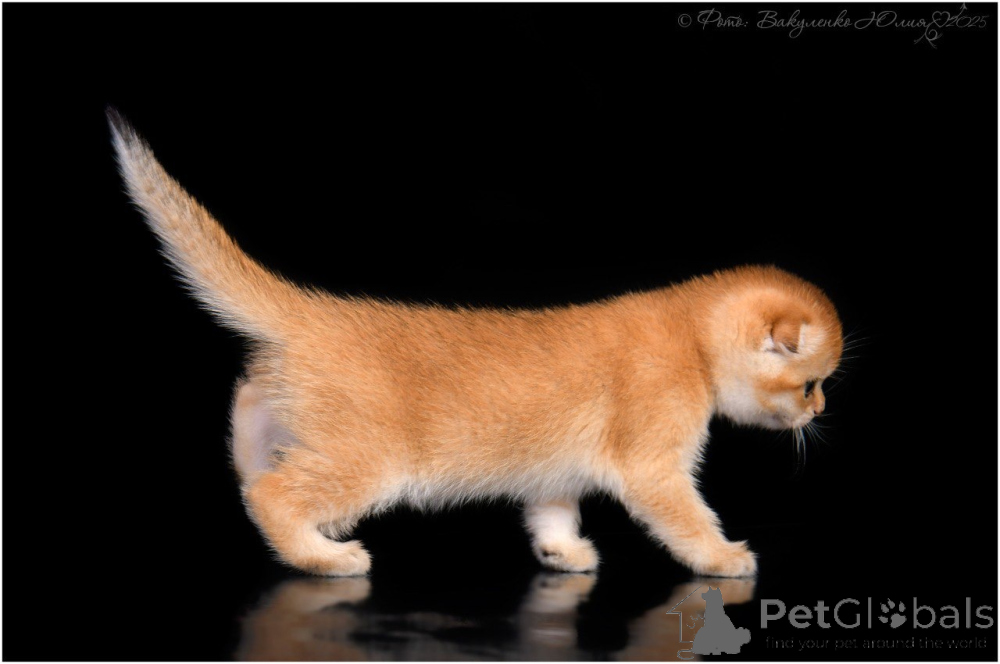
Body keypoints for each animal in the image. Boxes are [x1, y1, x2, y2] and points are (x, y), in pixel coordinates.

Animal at [109, 111, 842, 578]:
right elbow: (688, 519)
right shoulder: (652, 468)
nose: (821, 411)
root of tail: (315, 311)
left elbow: (552, 513)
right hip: (366, 460)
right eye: (809, 382)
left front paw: (562, 555)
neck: (689, 338)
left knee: (247, 434)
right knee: (271, 495)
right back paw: (324, 557)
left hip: (285, 410)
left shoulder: (555, 471)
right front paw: (725, 560)